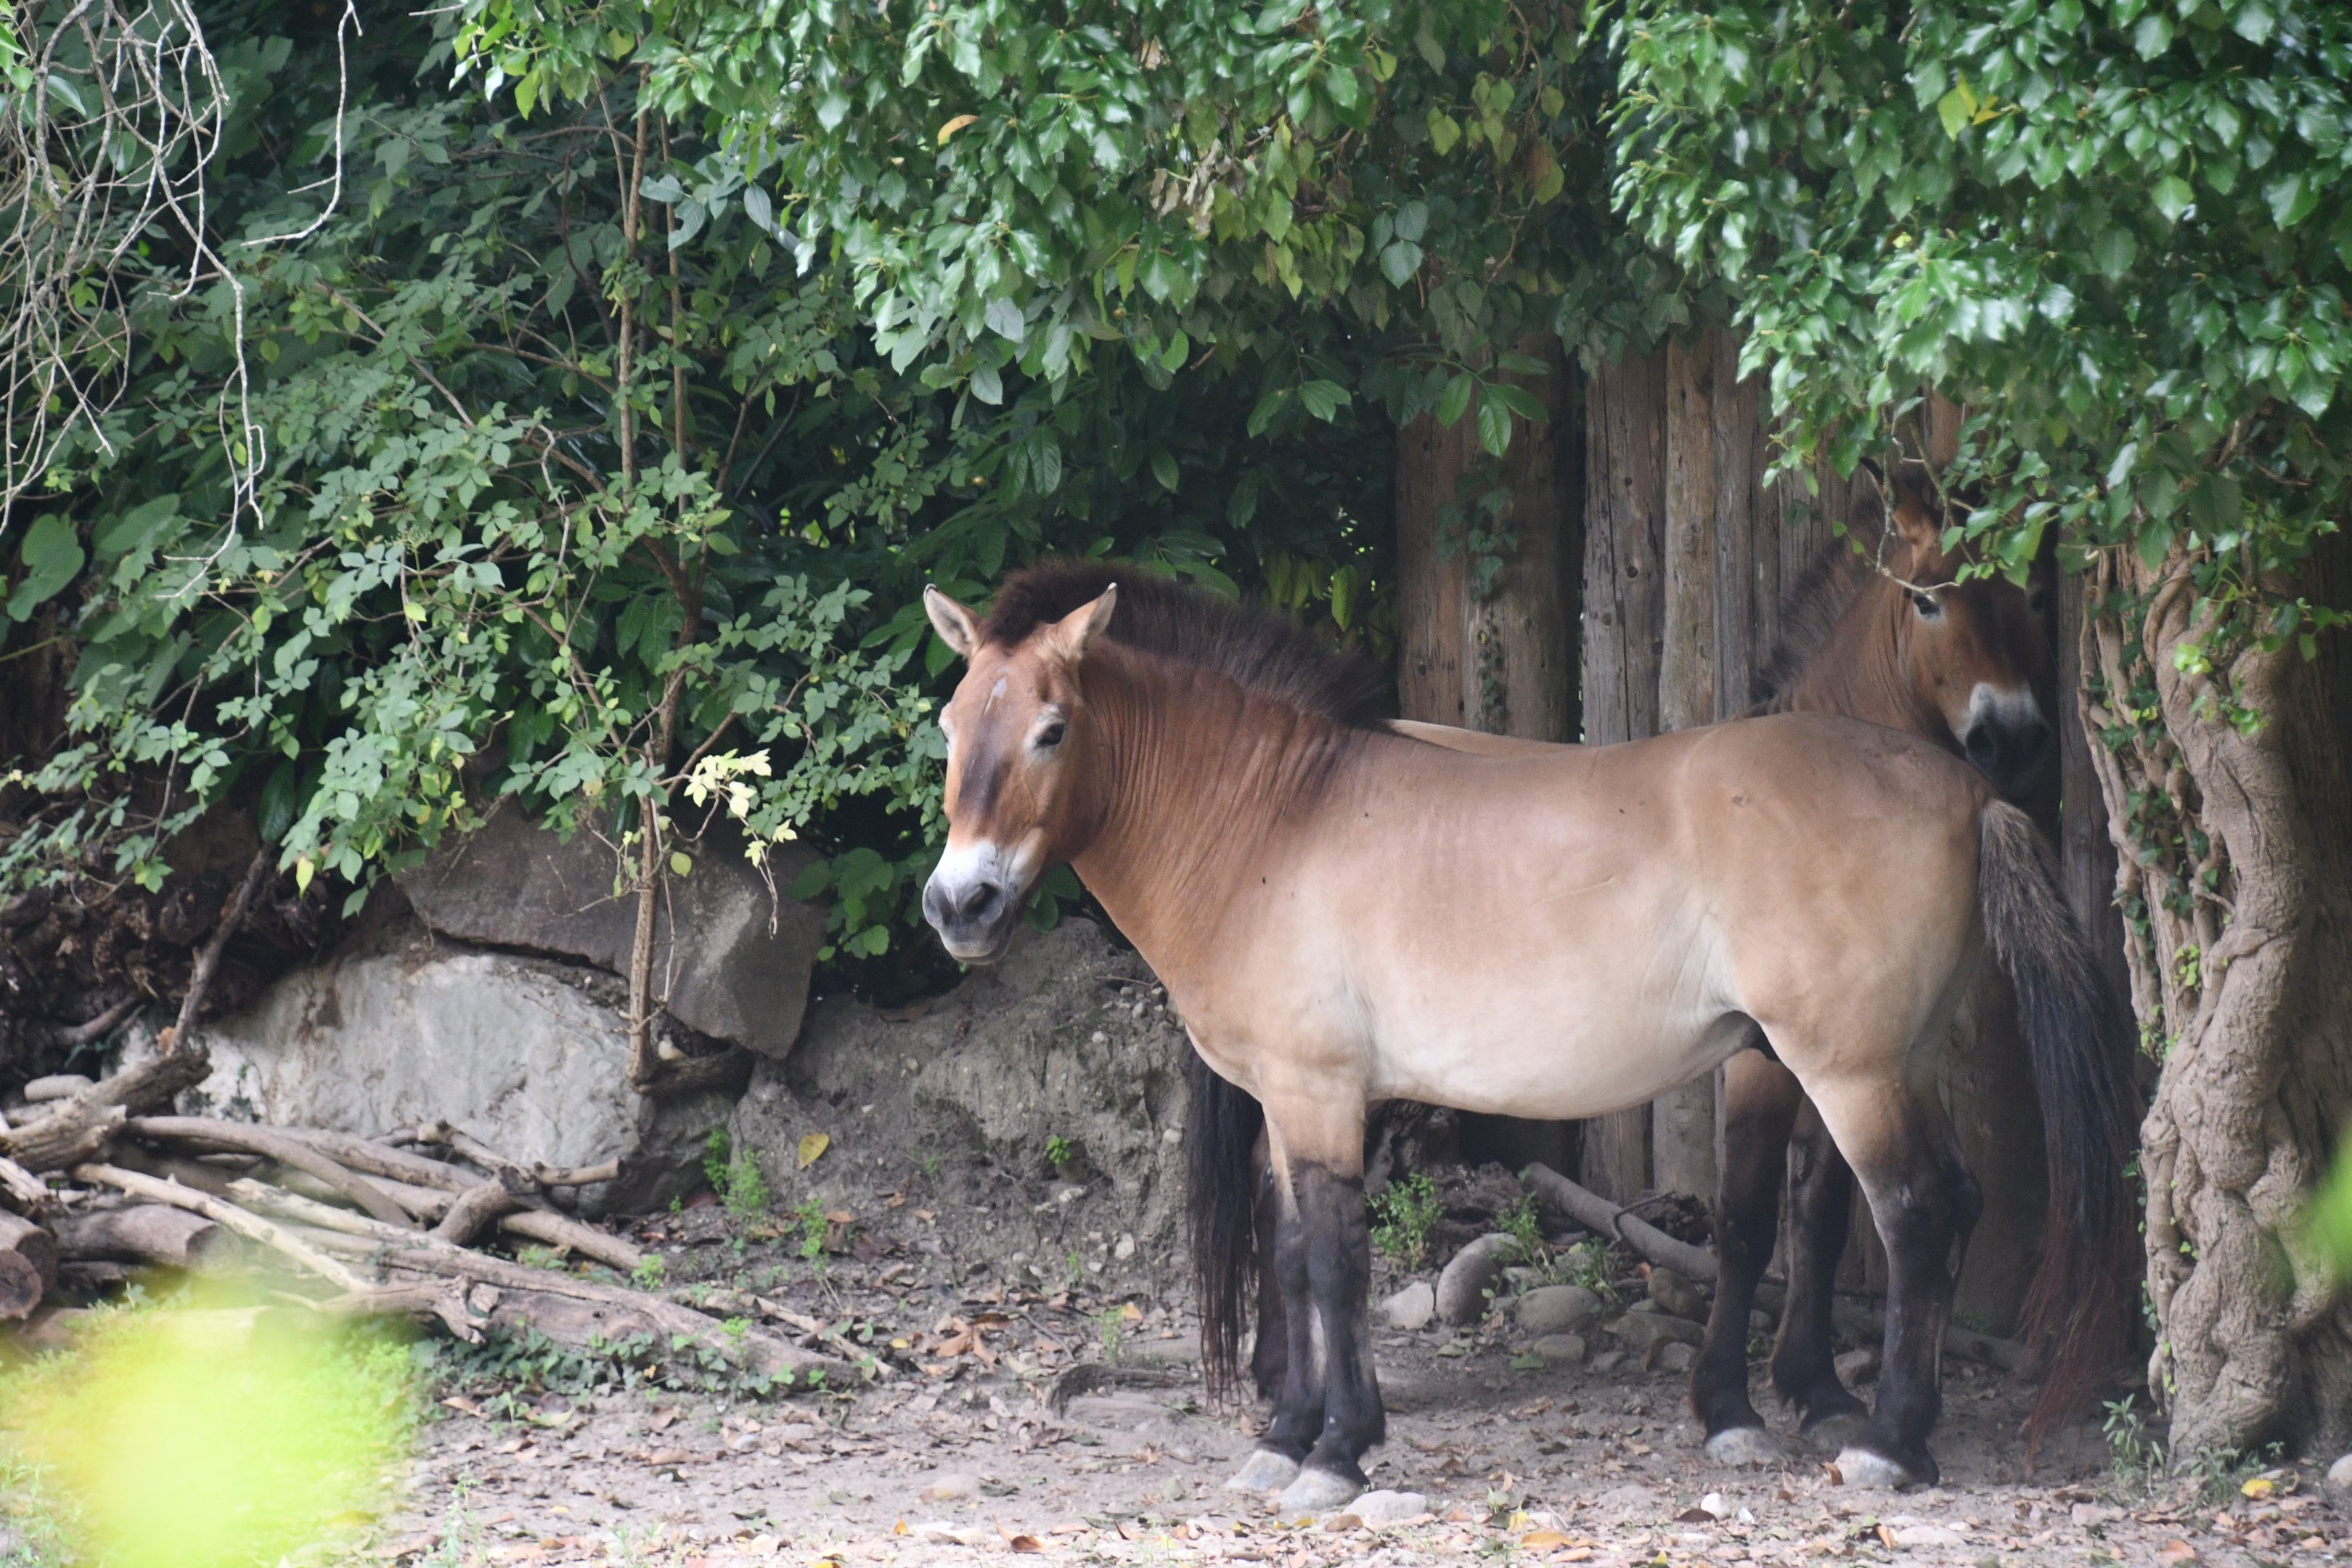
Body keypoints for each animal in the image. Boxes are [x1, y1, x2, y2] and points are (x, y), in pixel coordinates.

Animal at [918, 561, 2132, 1509]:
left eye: (1052, 730)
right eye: (950, 727)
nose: (958, 906)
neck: (1271, 819)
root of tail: (1964, 792)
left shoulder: (1318, 1091)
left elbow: (1333, 1262)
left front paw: (1336, 1453)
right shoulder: (1285, 1097)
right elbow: (1298, 1252)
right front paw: (1288, 1438)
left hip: (1852, 1071)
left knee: (1918, 1213)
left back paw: (1888, 1447)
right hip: (1894, 1062)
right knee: (1938, 1206)